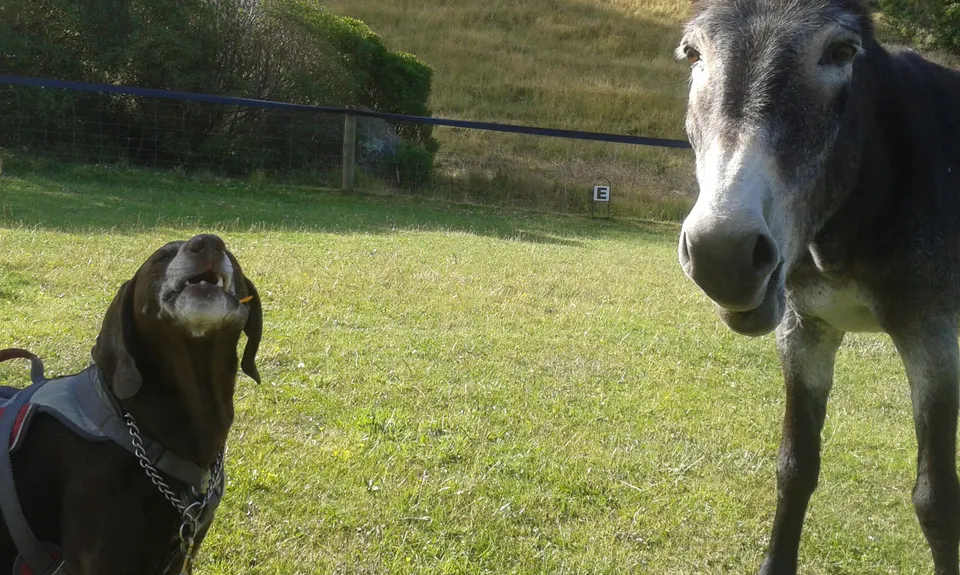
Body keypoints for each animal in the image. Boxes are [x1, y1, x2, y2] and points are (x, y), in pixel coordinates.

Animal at [675, 0, 960, 572]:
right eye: (693, 53)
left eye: (842, 52)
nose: (723, 255)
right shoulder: (805, 330)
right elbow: (795, 467)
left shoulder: (933, 336)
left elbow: (935, 498)